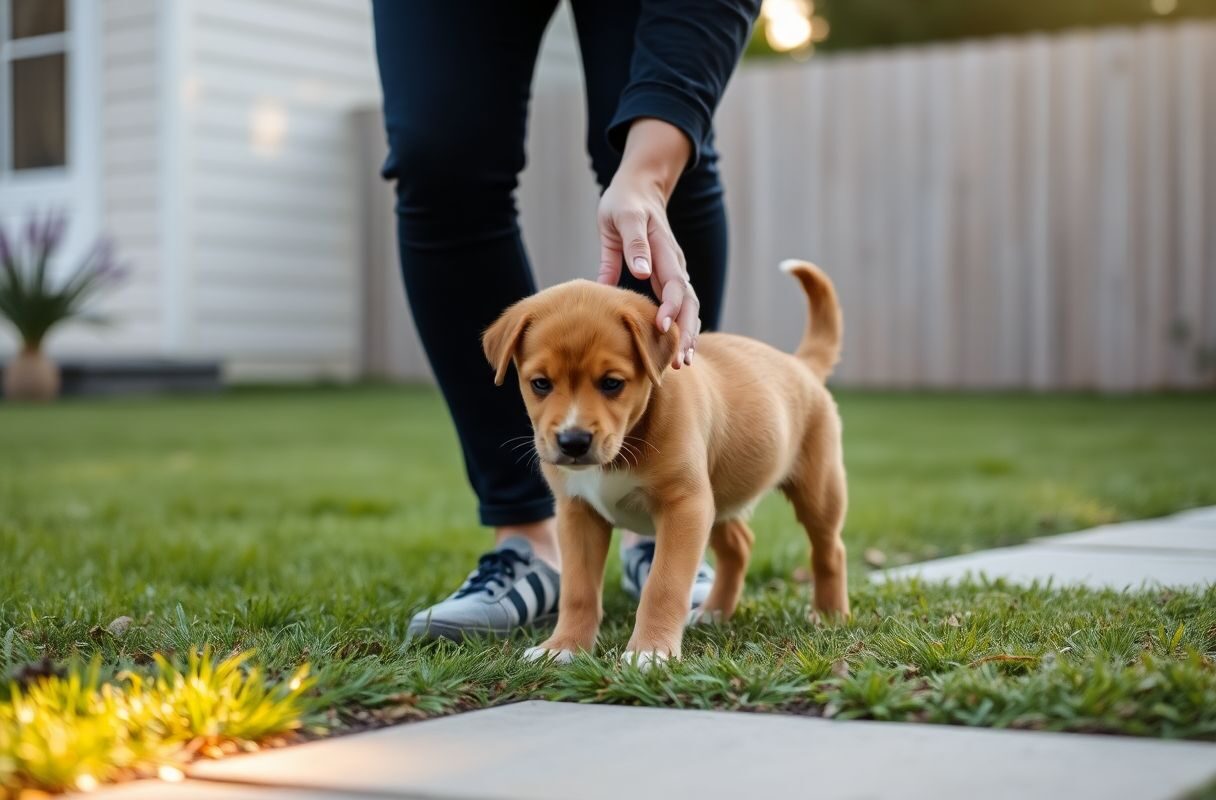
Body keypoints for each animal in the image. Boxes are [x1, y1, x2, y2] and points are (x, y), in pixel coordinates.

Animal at [481, 258, 846, 661]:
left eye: (612, 383)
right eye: (541, 384)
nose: (573, 441)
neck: (628, 441)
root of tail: (802, 365)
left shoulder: (684, 506)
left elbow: (663, 585)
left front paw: (650, 652)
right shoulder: (578, 513)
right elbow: (578, 591)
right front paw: (564, 648)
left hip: (817, 490)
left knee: (830, 550)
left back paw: (829, 615)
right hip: (717, 497)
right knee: (739, 546)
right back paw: (714, 612)